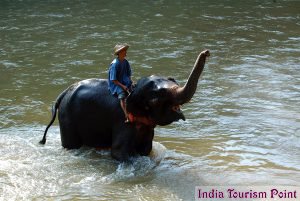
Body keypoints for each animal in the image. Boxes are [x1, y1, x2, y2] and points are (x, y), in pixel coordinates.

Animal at [40, 49, 211, 160]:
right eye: (156, 99)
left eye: (173, 81)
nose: (207, 52)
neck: (133, 90)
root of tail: (62, 94)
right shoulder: (123, 122)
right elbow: (118, 153)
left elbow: (146, 149)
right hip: (67, 118)